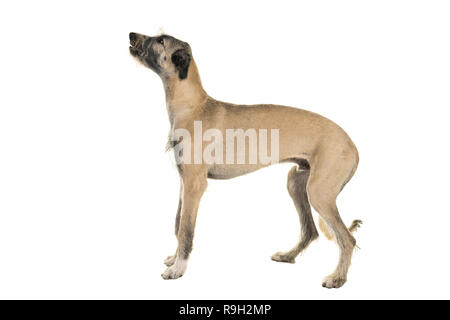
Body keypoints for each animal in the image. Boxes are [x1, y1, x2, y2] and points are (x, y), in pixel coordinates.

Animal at [128, 31, 360, 288]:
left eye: (161, 40)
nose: (131, 35)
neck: (194, 106)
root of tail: (352, 144)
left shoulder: (194, 185)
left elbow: (186, 229)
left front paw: (178, 269)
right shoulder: (183, 183)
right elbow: (178, 224)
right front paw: (173, 259)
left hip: (319, 192)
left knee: (347, 239)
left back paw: (337, 278)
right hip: (297, 183)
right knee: (311, 231)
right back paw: (288, 256)